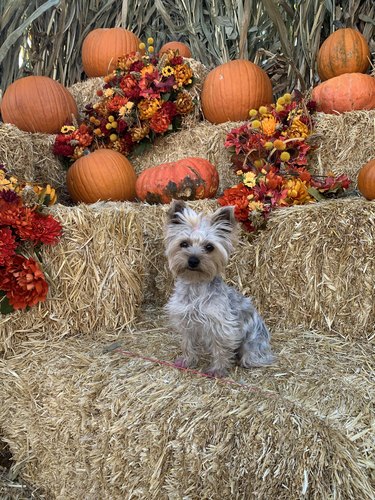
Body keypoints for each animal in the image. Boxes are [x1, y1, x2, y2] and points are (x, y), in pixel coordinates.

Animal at [165, 198, 276, 376]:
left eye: (209, 247)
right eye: (184, 244)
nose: (193, 260)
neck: (196, 285)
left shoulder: (221, 326)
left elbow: (220, 348)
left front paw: (218, 369)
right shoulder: (186, 321)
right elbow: (188, 344)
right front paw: (188, 361)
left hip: (252, 345)